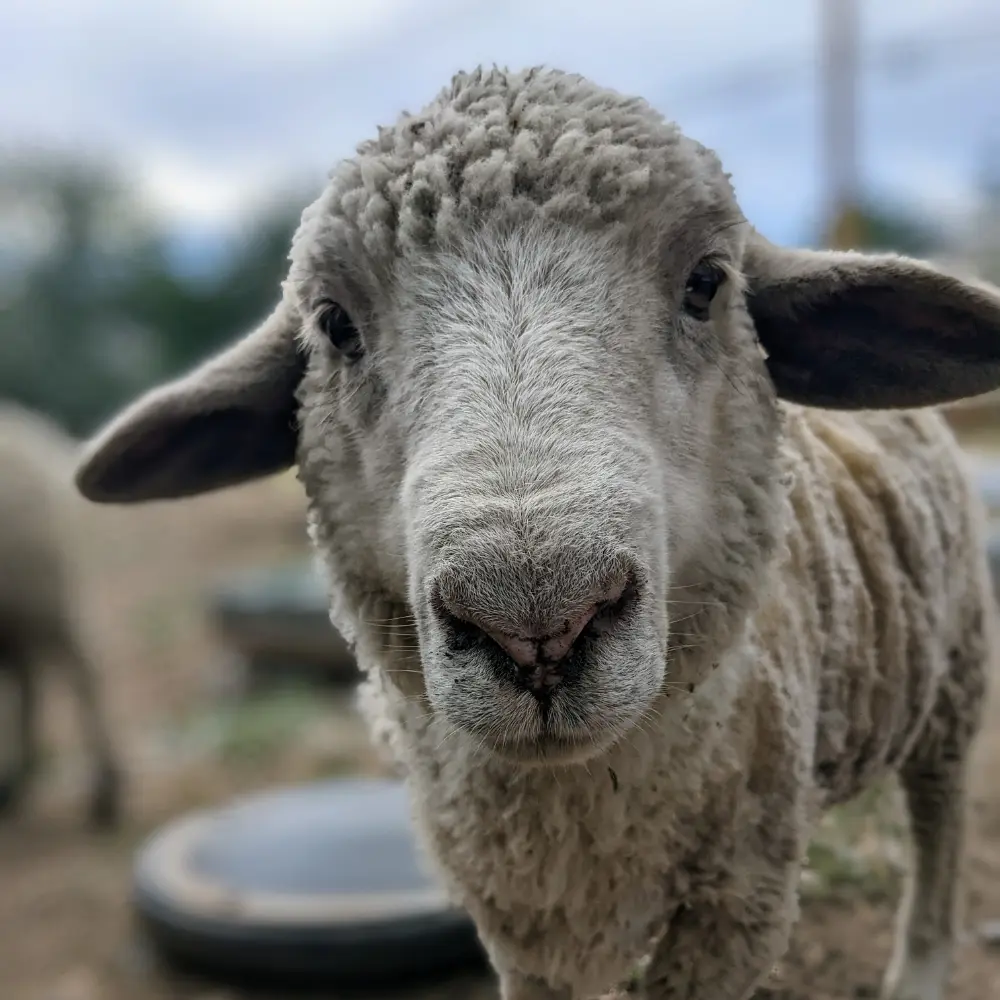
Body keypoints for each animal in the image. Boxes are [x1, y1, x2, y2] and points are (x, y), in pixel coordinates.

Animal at [0, 400, 122, 827]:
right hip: (24, 609)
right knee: (31, 682)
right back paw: (16, 784)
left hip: (39, 594)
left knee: (79, 671)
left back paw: (106, 795)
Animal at [70, 66, 1000, 1000]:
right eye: (334, 325)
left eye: (707, 283)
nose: (537, 625)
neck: (577, 805)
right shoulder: (520, 915)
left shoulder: (743, 896)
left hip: (954, 676)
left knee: (941, 823)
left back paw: (920, 967)